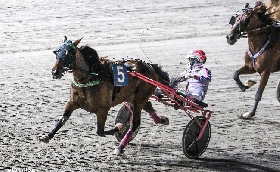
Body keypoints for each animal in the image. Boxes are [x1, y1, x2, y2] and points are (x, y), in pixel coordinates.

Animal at [39, 36, 170, 155]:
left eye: (69, 53)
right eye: (56, 52)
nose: (55, 72)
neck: (90, 77)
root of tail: (150, 67)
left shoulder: (103, 109)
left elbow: (100, 132)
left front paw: (119, 127)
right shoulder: (72, 103)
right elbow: (62, 120)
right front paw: (47, 136)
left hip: (140, 98)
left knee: (135, 123)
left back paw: (120, 147)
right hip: (134, 96)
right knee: (148, 106)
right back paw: (162, 120)